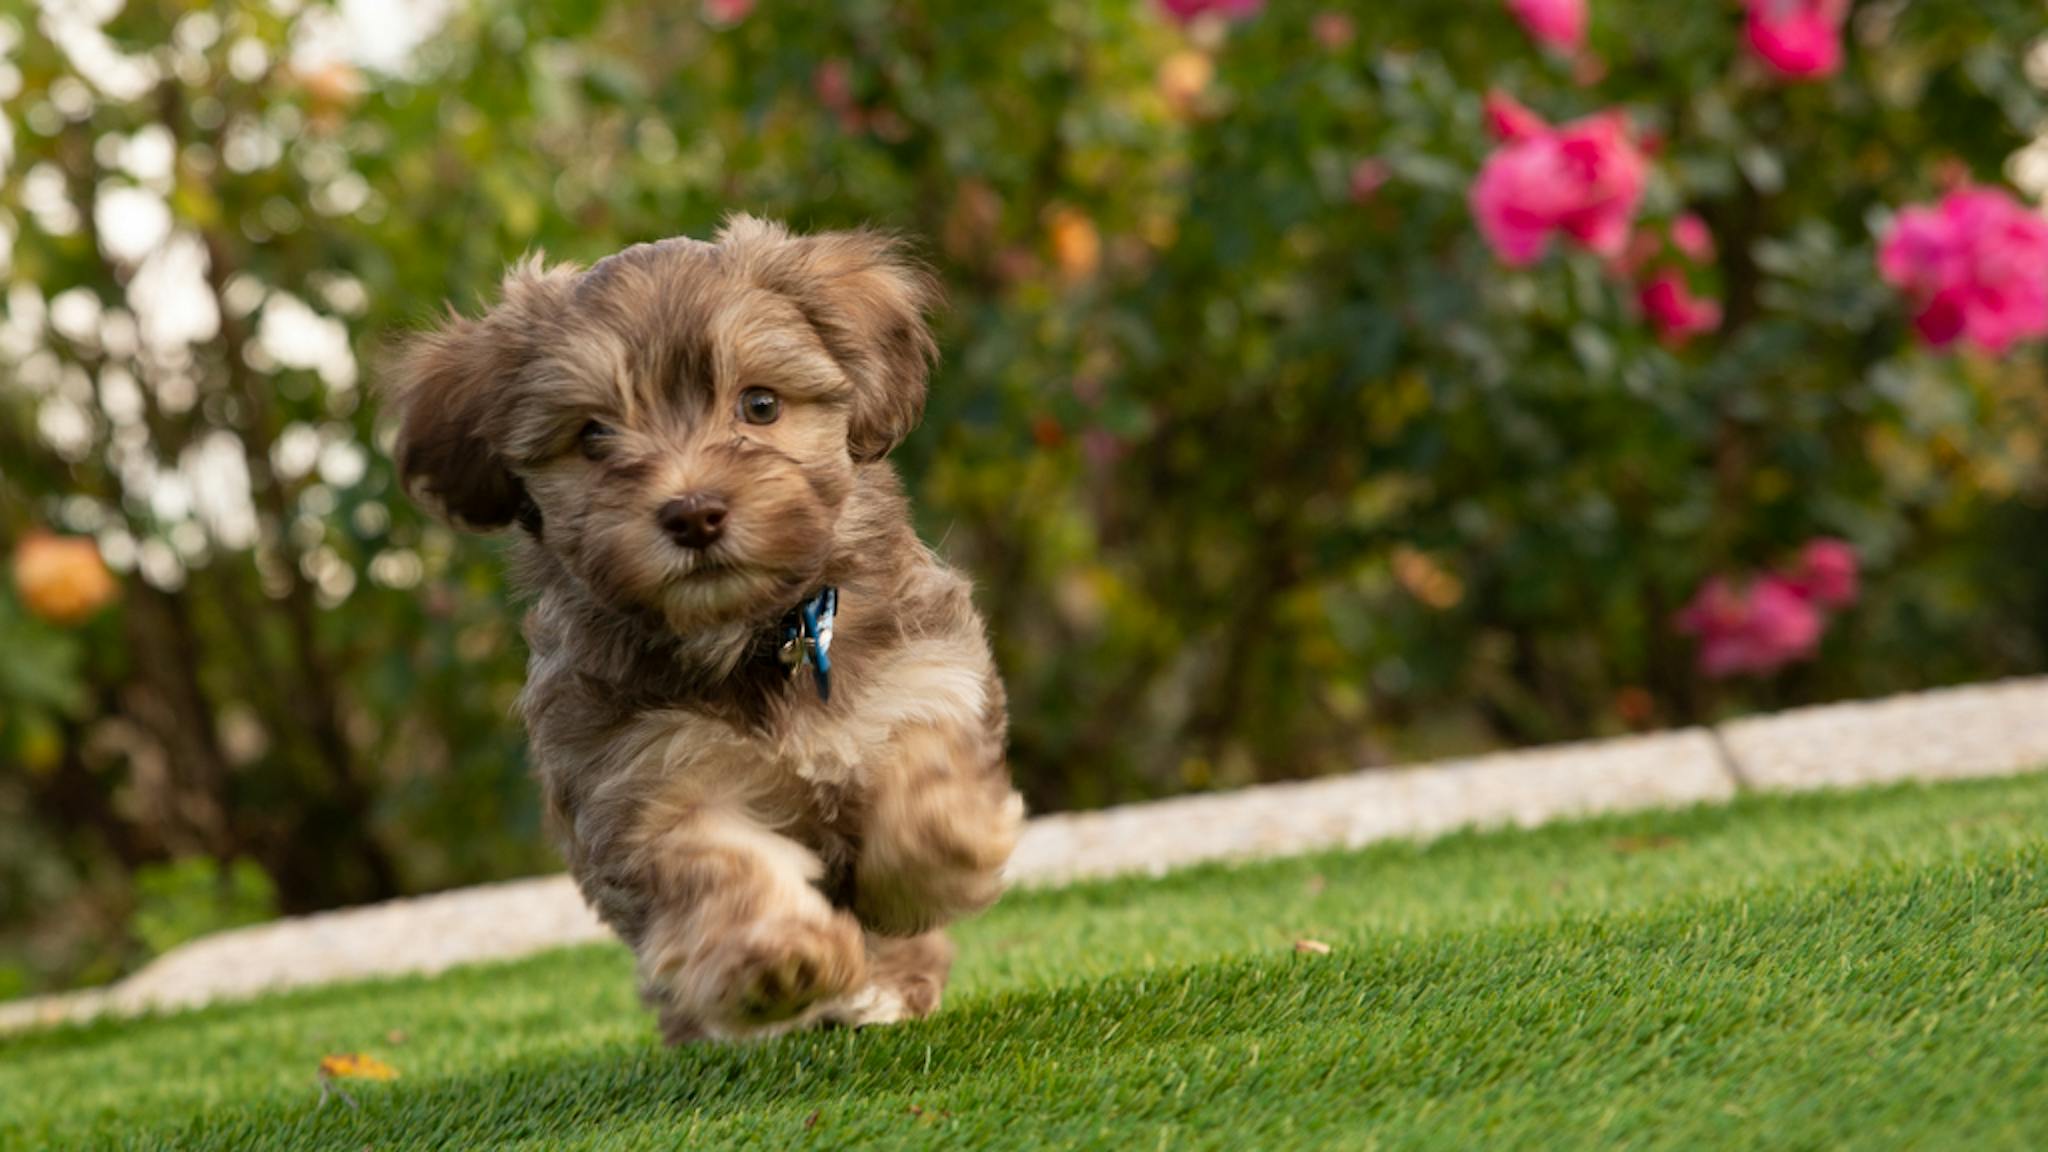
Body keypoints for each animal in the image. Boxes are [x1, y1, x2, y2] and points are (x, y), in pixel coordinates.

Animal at [385, 215, 1024, 1041]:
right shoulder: (647, 777)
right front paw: (777, 956)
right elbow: (718, 866)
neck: (758, 637)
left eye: (760, 405)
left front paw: (943, 845)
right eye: (593, 436)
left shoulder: (924, 676)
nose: (693, 512)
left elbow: (927, 772)